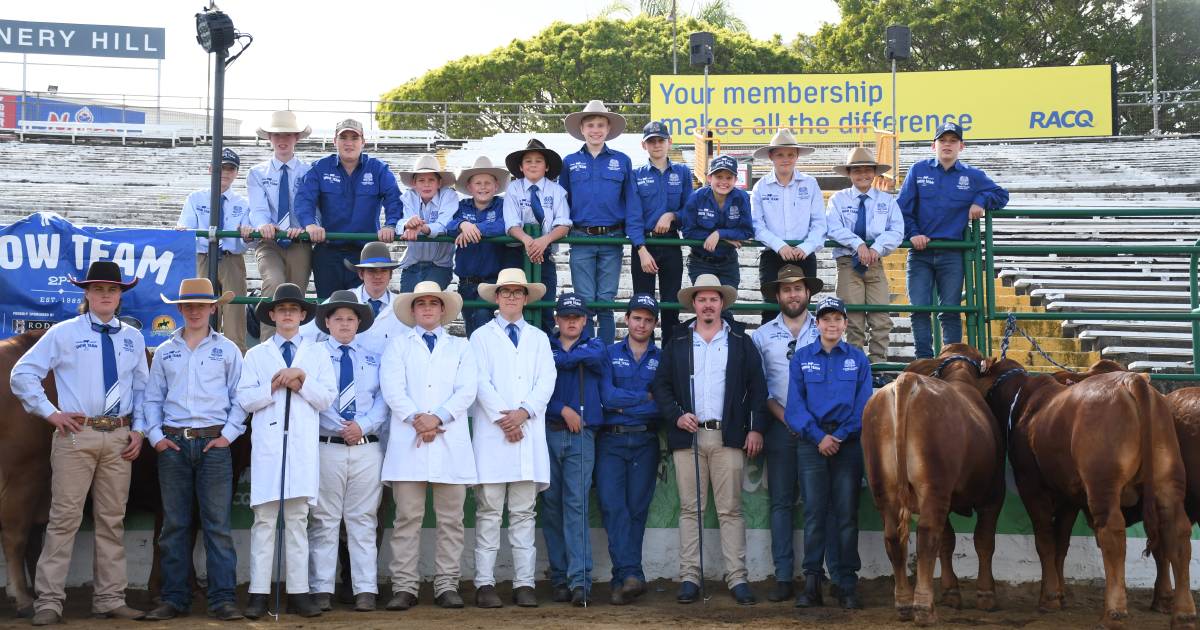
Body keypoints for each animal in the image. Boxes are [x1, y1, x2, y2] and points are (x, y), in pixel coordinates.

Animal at [868, 343, 1008, 624]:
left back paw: (904, 603)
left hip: (884, 489)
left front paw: (951, 591)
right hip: (934, 487)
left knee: (894, 537)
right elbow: (983, 541)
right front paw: (986, 594)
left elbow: (948, 540)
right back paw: (924, 608)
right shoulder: (993, 495)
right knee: (926, 536)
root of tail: (907, 381)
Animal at [979, 355, 1195, 624]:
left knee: (1113, 532)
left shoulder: (1030, 485)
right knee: (1177, 531)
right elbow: (1061, 543)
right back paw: (1184, 613)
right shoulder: (1069, 497)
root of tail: (1131, 380)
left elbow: (1045, 540)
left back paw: (1114, 612)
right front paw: (1059, 594)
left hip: (1102, 484)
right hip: (1167, 480)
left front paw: (1049, 597)